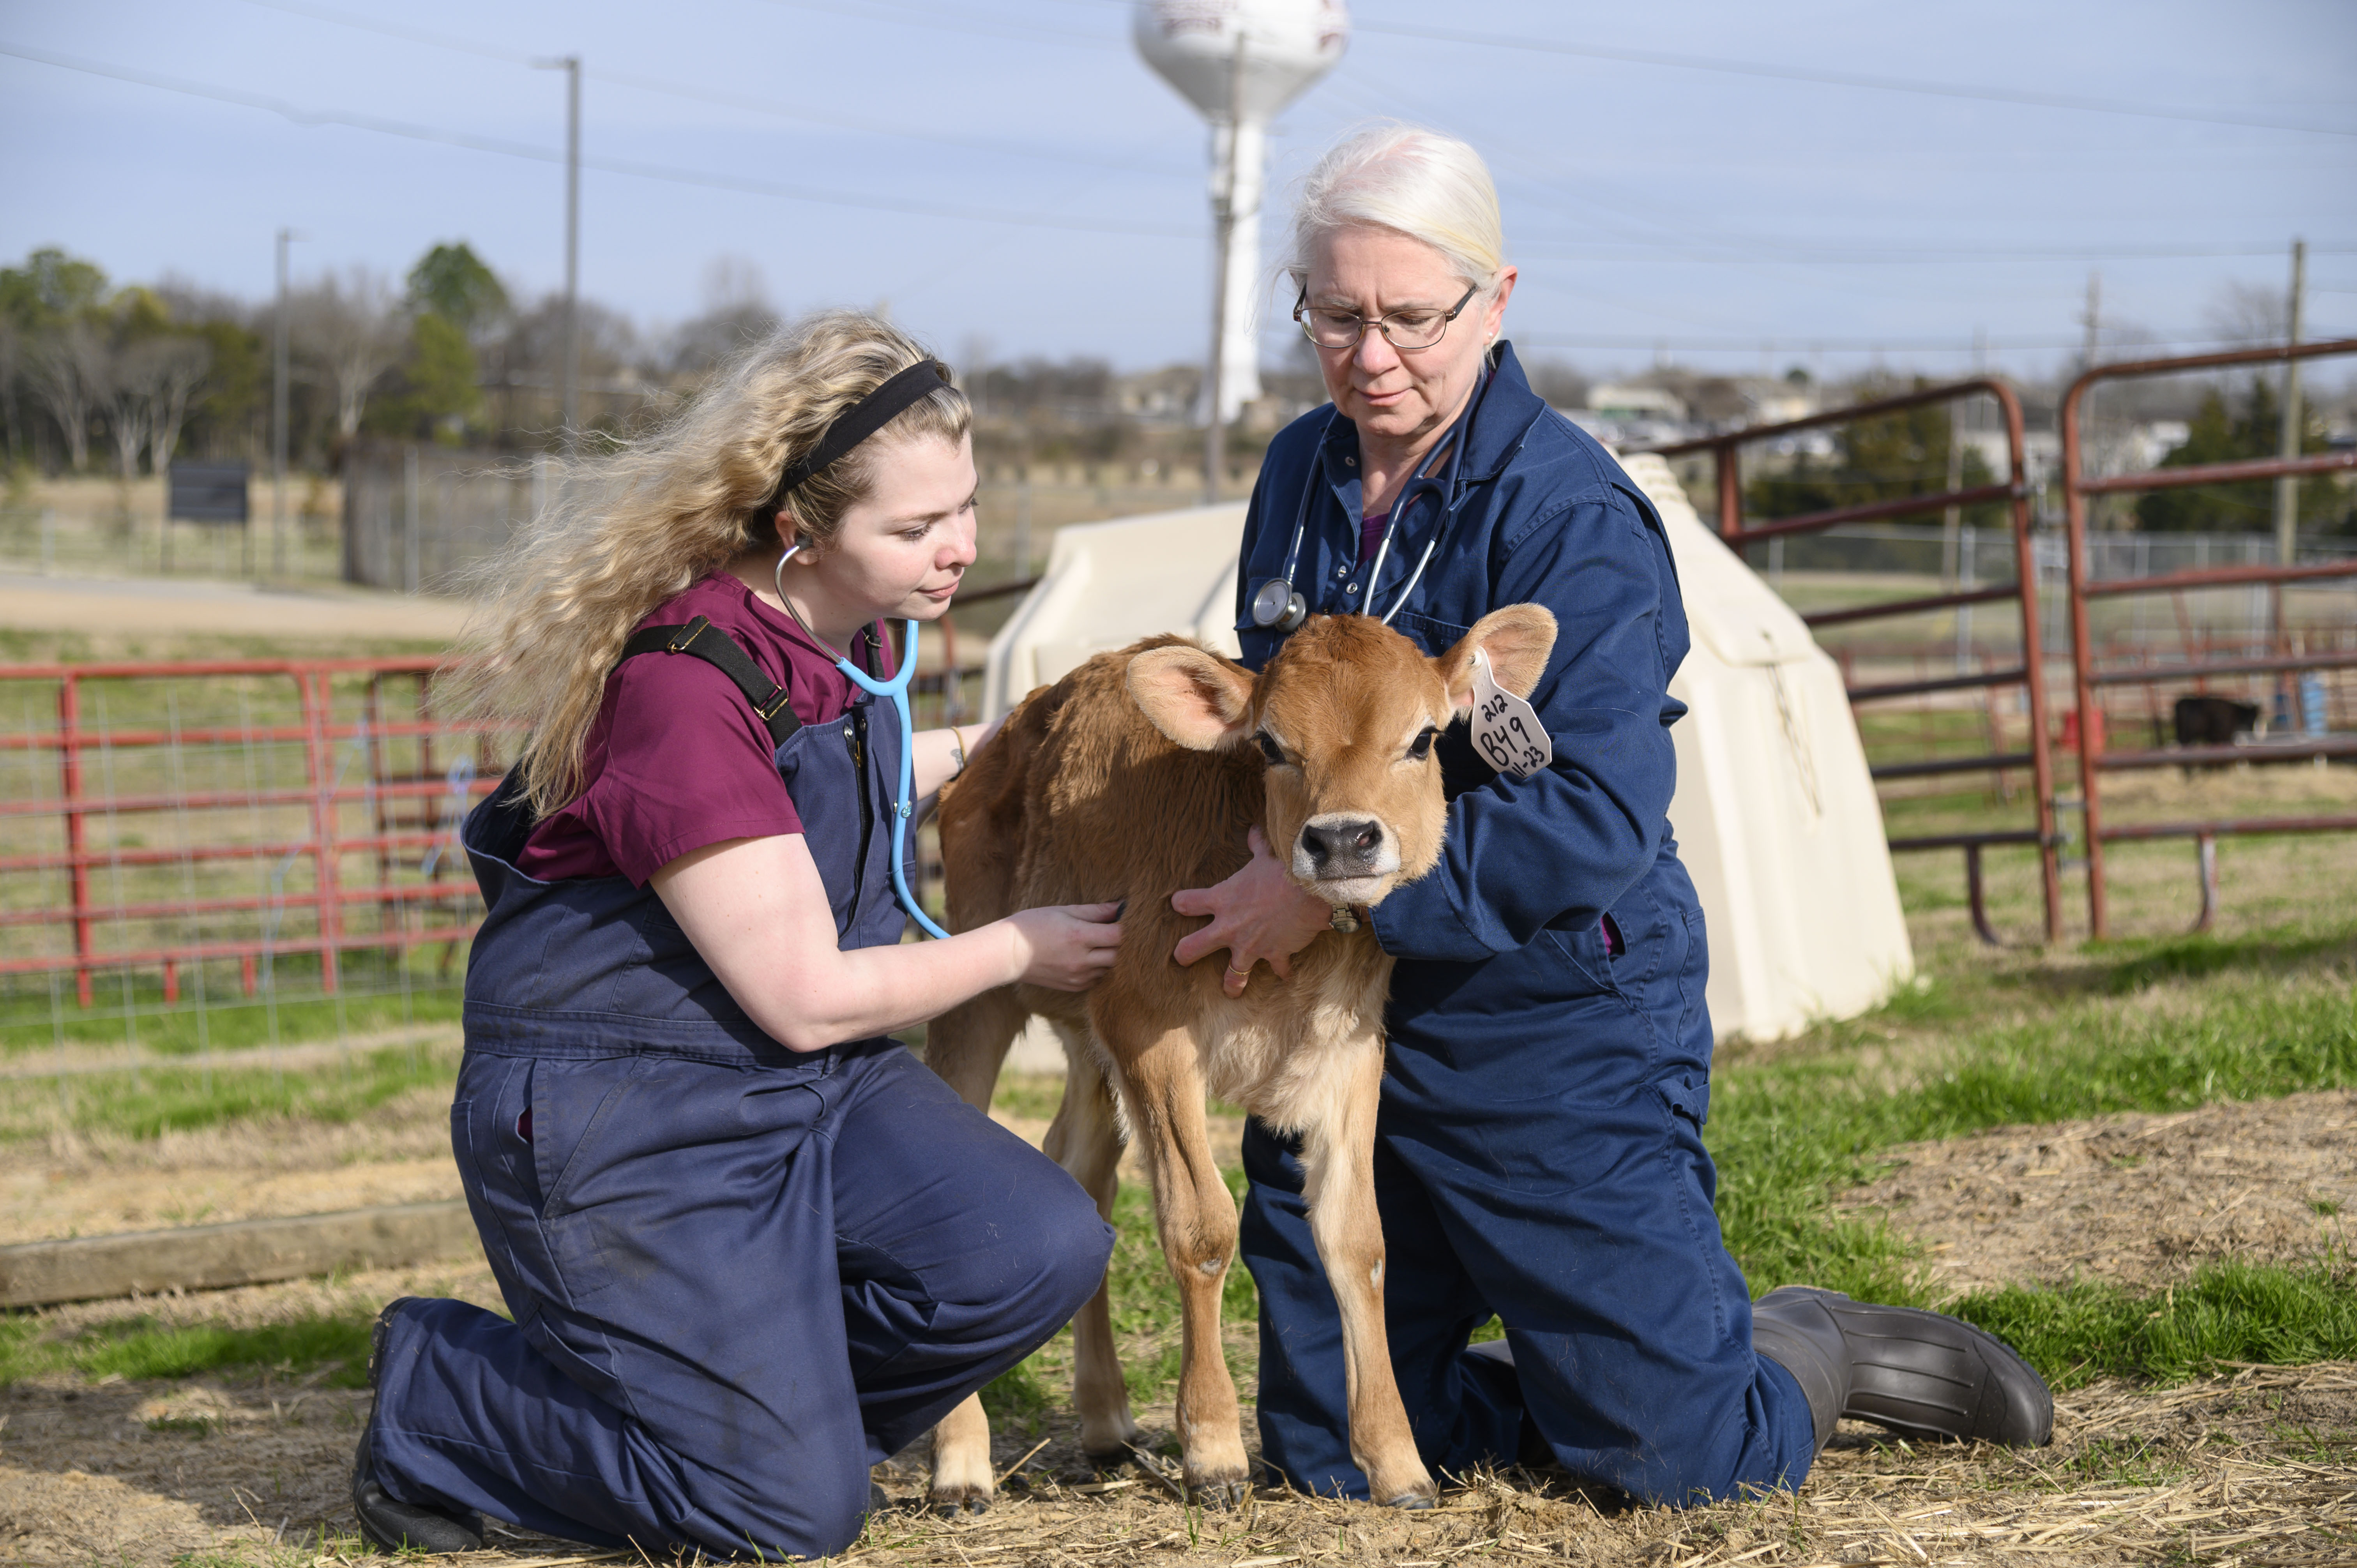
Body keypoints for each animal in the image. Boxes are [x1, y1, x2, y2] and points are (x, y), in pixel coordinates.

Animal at [919, 604, 1565, 1509]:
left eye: (1423, 738)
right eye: (1271, 744)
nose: (1343, 838)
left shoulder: (1349, 1051)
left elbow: (1359, 1241)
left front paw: (1397, 1459)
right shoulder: (1150, 1032)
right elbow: (1201, 1227)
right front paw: (1216, 1448)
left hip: (1087, 1033)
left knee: (1083, 1170)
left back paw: (1106, 1419)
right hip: (978, 995)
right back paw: (961, 1461)